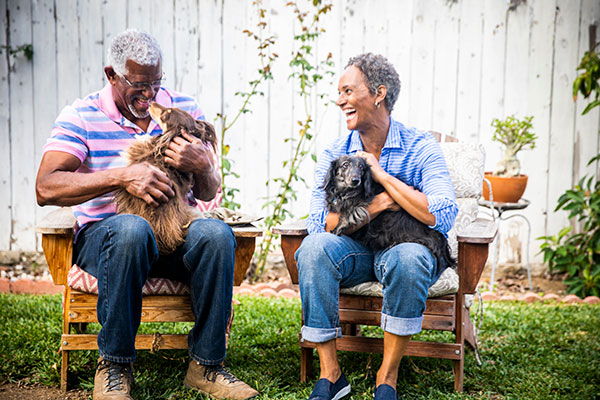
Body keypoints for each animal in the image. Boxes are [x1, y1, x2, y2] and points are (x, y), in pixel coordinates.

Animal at [324, 155, 454, 268]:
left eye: (361, 167)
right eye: (345, 165)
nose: (356, 180)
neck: (345, 192)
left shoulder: (359, 201)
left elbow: (348, 211)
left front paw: (338, 227)